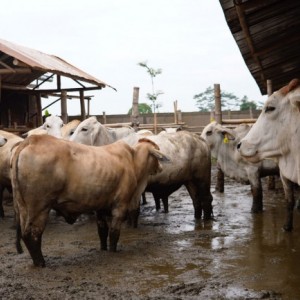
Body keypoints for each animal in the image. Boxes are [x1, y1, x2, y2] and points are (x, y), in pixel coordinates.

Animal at [10, 135, 168, 266]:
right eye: (157, 156)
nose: (161, 168)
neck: (133, 161)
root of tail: (31, 140)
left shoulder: (101, 207)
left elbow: (102, 231)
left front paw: (104, 249)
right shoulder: (120, 206)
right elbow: (114, 233)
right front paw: (113, 251)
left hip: (23, 207)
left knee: (25, 234)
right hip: (39, 207)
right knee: (33, 234)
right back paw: (41, 263)